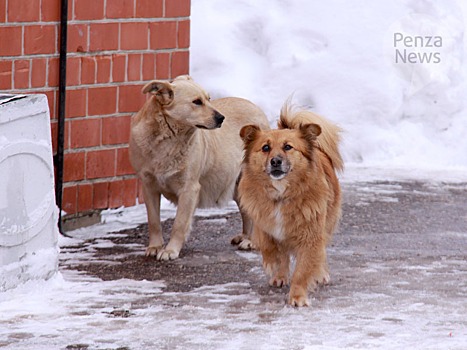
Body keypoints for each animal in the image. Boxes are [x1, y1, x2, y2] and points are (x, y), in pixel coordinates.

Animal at [130, 76, 270, 260]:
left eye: (209, 99)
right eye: (197, 102)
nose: (221, 118)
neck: (168, 139)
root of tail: (256, 107)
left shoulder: (189, 189)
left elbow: (179, 223)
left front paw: (170, 250)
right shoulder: (149, 186)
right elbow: (153, 221)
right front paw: (155, 246)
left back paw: (252, 241)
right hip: (236, 184)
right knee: (247, 212)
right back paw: (245, 236)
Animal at [239, 103, 342, 306]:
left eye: (288, 147)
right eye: (265, 147)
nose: (275, 161)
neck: (281, 195)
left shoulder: (311, 235)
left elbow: (303, 270)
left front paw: (297, 297)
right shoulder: (263, 222)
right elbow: (268, 246)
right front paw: (273, 264)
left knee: (322, 251)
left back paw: (321, 273)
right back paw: (280, 275)